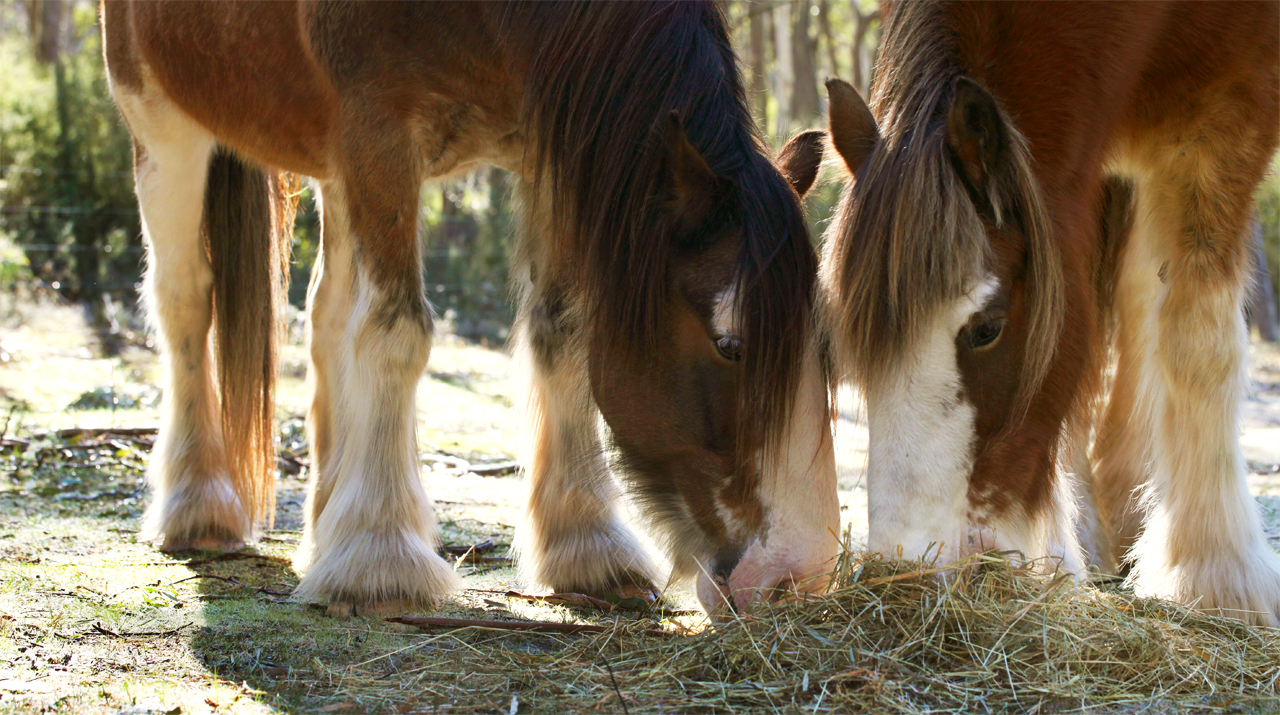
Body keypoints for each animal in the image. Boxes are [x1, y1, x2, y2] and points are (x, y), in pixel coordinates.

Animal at [101, 0, 838, 615]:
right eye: (729, 345)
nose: (794, 574)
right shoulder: (380, 134)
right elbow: (396, 332)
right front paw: (381, 561)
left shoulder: (548, 150)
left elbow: (562, 333)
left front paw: (587, 547)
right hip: (162, 128)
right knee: (185, 302)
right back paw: (198, 508)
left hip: (330, 161)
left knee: (329, 315)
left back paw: (324, 525)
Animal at [821, 1, 1280, 624]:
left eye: (987, 330)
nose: (905, 576)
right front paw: (1060, 565)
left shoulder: (1231, 109)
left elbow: (1198, 341)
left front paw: (1219, 577)